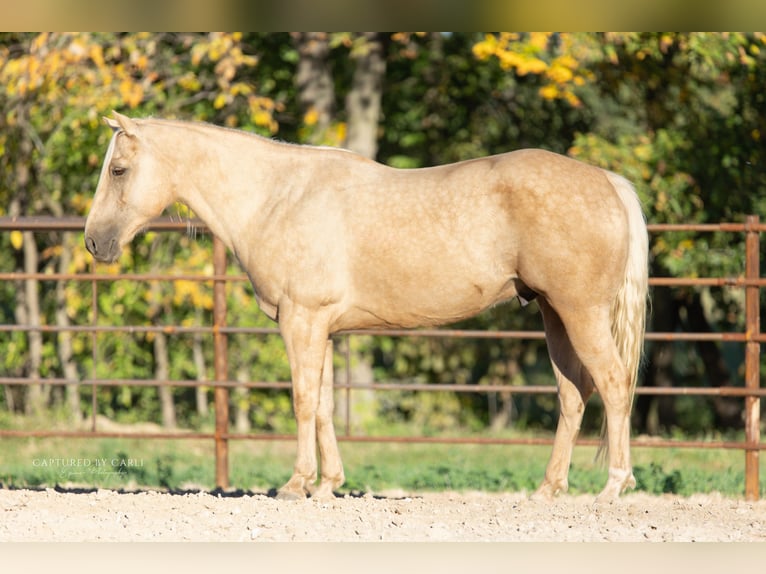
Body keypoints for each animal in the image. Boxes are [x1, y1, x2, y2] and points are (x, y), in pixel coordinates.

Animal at [85, 112, 648, 504]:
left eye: (119, 169)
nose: (94, 242)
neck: (278, 197)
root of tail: (607, 181)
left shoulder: (302, 321)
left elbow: (302, 402)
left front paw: (296, 484)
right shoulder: (322, 328)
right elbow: (324, 405)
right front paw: (327, 484)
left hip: (581, 314)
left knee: (614, 385)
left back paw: (612, 488)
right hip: (555, 316)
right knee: (573, 396)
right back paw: (548, 490)